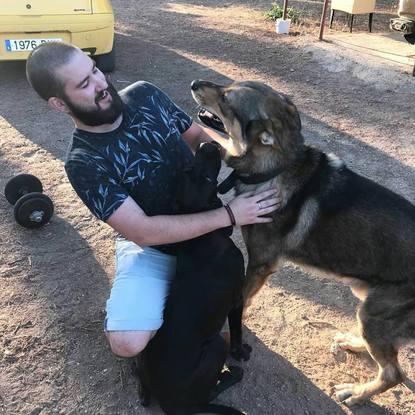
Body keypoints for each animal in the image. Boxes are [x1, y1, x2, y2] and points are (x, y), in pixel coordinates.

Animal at [135, 143, 249, 415]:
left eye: (187, 168)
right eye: (208, 179)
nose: (208, 145)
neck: (202, 237)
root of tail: (169, 404)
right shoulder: (237, 299)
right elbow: (237, 329)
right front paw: (240, 352)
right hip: (216, 346)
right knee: (206, 398)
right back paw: (232, 375)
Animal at [192, 79, 415, 408]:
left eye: (226, 98)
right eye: (227, 87)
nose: (195, 83)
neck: (274, 167)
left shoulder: (259, 265)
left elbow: (241, 302)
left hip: (375, 314)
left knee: (394, 374)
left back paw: (356, 393)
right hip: (368, 303)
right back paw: (353, 342)